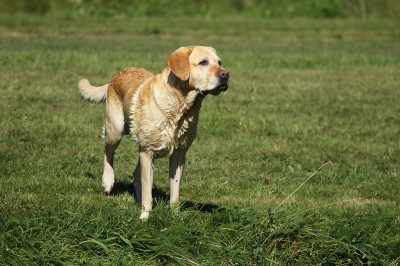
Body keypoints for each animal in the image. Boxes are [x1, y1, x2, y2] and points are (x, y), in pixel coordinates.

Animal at [79, 46, 228, 220]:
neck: (180, 107)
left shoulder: (178, 155)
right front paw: (144, 217)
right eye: (203, 62)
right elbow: (148, 192)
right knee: (108, 151)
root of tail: (117, 74)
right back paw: (108, 182)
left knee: (136, 175)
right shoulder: (148, 152)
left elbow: (174, 193)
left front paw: (176, 217)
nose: (226, 74)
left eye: (219, 62)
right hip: (115, 130)